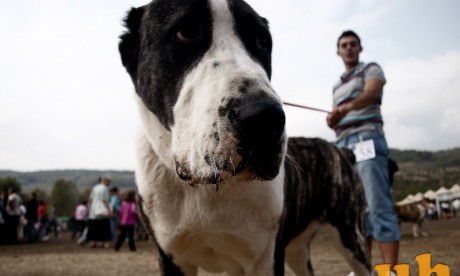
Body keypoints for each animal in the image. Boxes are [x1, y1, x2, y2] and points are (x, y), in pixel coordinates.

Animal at [118, 1, 370, 274]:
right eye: (185, 32)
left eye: (261, 41)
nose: (265, 118)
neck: (207, 191)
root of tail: (340, 150)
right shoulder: (171, 258)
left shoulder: (266, 258)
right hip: (297, 250)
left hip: (351, 237)